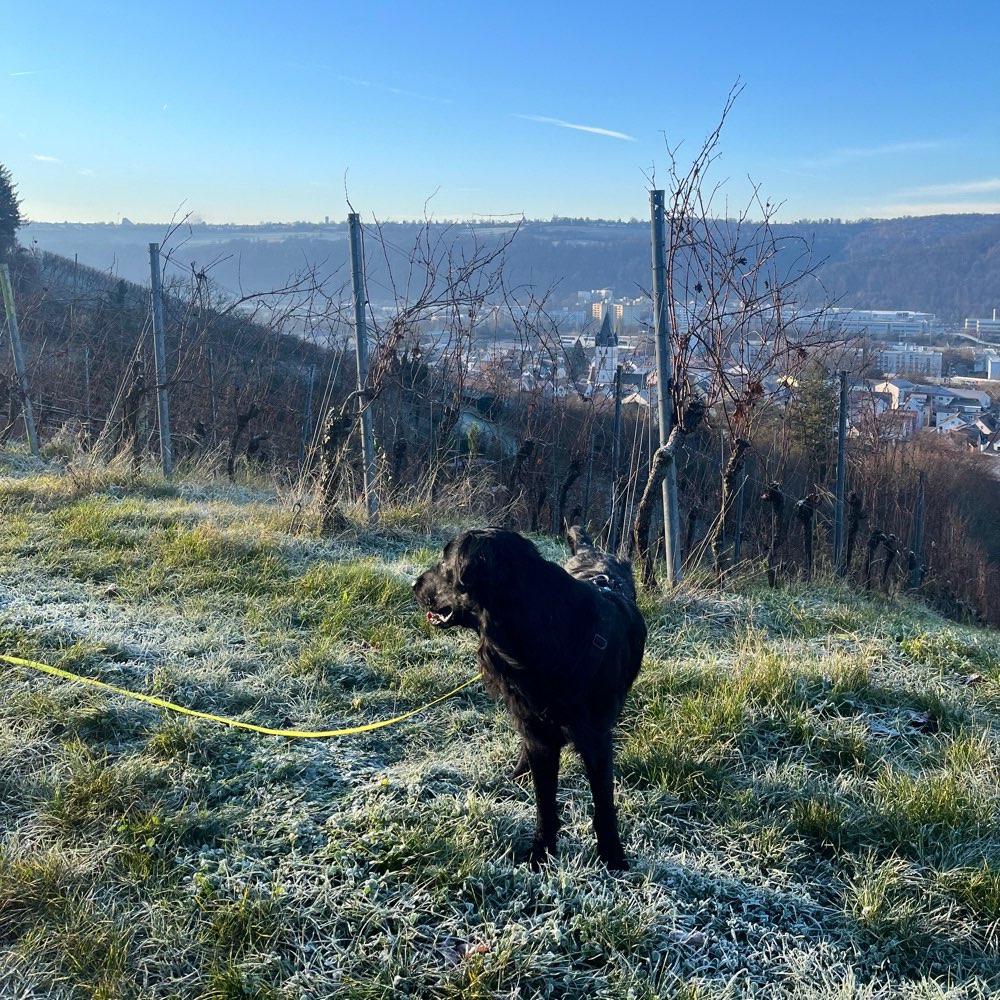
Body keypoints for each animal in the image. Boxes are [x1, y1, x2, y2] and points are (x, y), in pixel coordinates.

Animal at [414, 528, 648, 872]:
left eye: (445, 563)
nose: (415, 585)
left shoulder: (596, 740)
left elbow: (603, 805)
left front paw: (612, 857)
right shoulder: (538, 732)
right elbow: (545, 803)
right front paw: (541, 854)